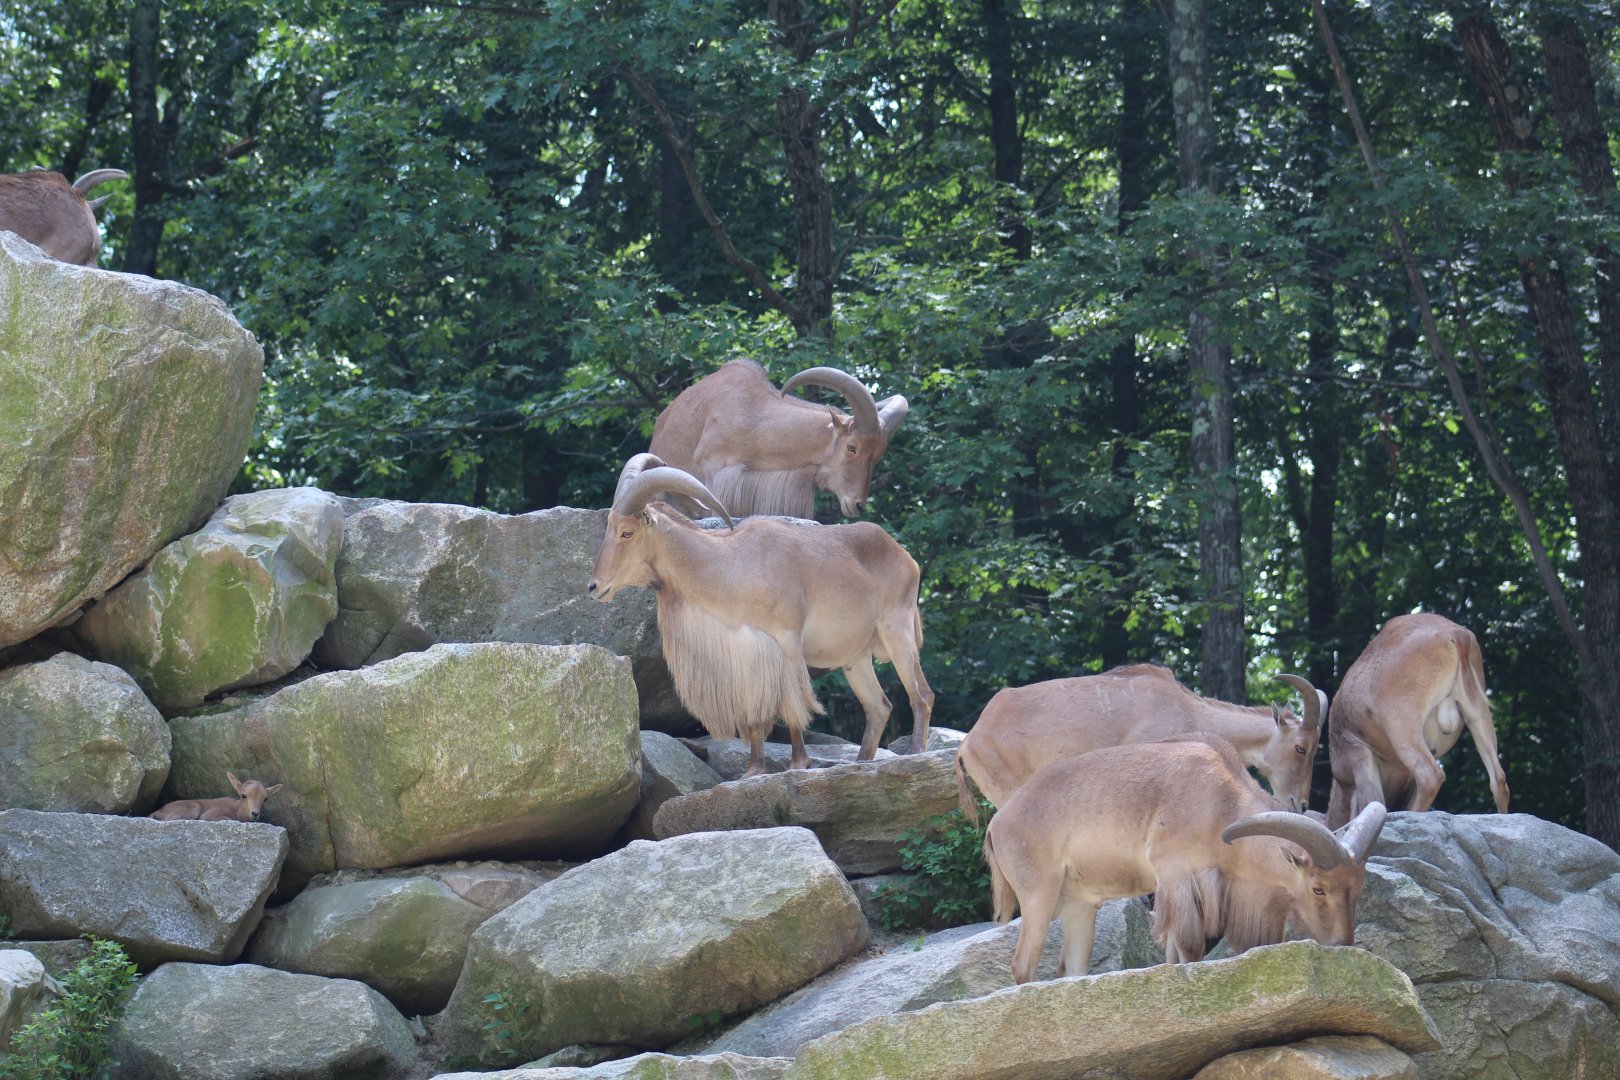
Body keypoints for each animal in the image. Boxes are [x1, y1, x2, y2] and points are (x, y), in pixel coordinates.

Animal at [150, 772, 283, 822]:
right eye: (243, 795)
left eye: (265, 799)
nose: (255, 813)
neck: (237, 810)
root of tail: (158, 810)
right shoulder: (211, 814)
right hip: (194, 807)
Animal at [587, 453, 933, 776]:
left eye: (627, 533)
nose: (594, 586)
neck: (733, 565)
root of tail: (904, 555)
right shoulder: (745, 657)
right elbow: (755, 718)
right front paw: (753, 770)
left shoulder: (787, 642)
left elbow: (792, 705)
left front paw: (799, 763)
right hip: (855, 659)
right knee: (879, 706)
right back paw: (861, 762)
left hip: (897, 630)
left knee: (921, 694)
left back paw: (915, 752)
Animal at [984, 734, 1387, 984]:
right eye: (1319, 889)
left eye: (1359, 888)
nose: (1342, 944)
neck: (1221, 801)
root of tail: (998, 823)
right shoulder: (1176, 876)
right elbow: (1189, 948)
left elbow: (1173, 954)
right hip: (1040, 893)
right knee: (1023, 964)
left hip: (1079, 905)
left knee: (1073, 969)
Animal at [1327, 611, 1509, 829]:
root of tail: (1458, 635)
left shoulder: (1358, 754)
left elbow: (1373, 800)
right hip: (1477, 710)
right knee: (1499, 779)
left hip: (1401, 723)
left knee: (1430, 776)